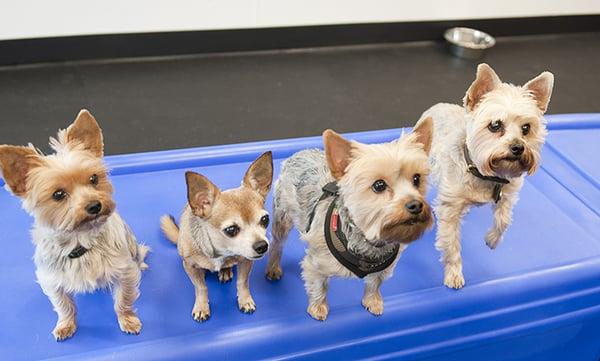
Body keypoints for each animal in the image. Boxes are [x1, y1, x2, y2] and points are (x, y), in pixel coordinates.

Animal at [0, 109, 149, 340]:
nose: (95, 205)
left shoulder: (125, 271)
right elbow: (64, 306)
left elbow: (123, 301)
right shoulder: (52, 280)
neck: (81, 242)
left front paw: (128, 320)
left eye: (94, 178)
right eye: (58, 194)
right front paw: (65, 325)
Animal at [159, 150, 272, 320]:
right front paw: (201, 306)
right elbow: (201, 288)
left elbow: (242, 282)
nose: (262, 245)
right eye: (231, 229)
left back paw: (225, 271)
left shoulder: (246, 261)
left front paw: (245, 300)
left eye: (265, 220)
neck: (221, 251)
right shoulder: (189, 266)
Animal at [266, 122, 432, 320]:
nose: (415, 205)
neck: (370, 241)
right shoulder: (316, 264)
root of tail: (299, 152)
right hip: (282, 215)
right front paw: (318, 308)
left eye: (417, 178)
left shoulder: (383, 268)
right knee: (277, 243)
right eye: (379, 185)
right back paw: (273, 268)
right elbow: (319, 286)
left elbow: (375, 283)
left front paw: (372, 301)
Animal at [418, 63, 552, 288]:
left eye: (526, 128)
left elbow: (504, 221)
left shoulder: (508, 195)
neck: (486, 175)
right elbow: (451, 244)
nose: (518, 147)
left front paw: (492, 240)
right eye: (495, 125)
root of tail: (438, 105)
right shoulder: (450, 208)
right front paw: (454, 273)